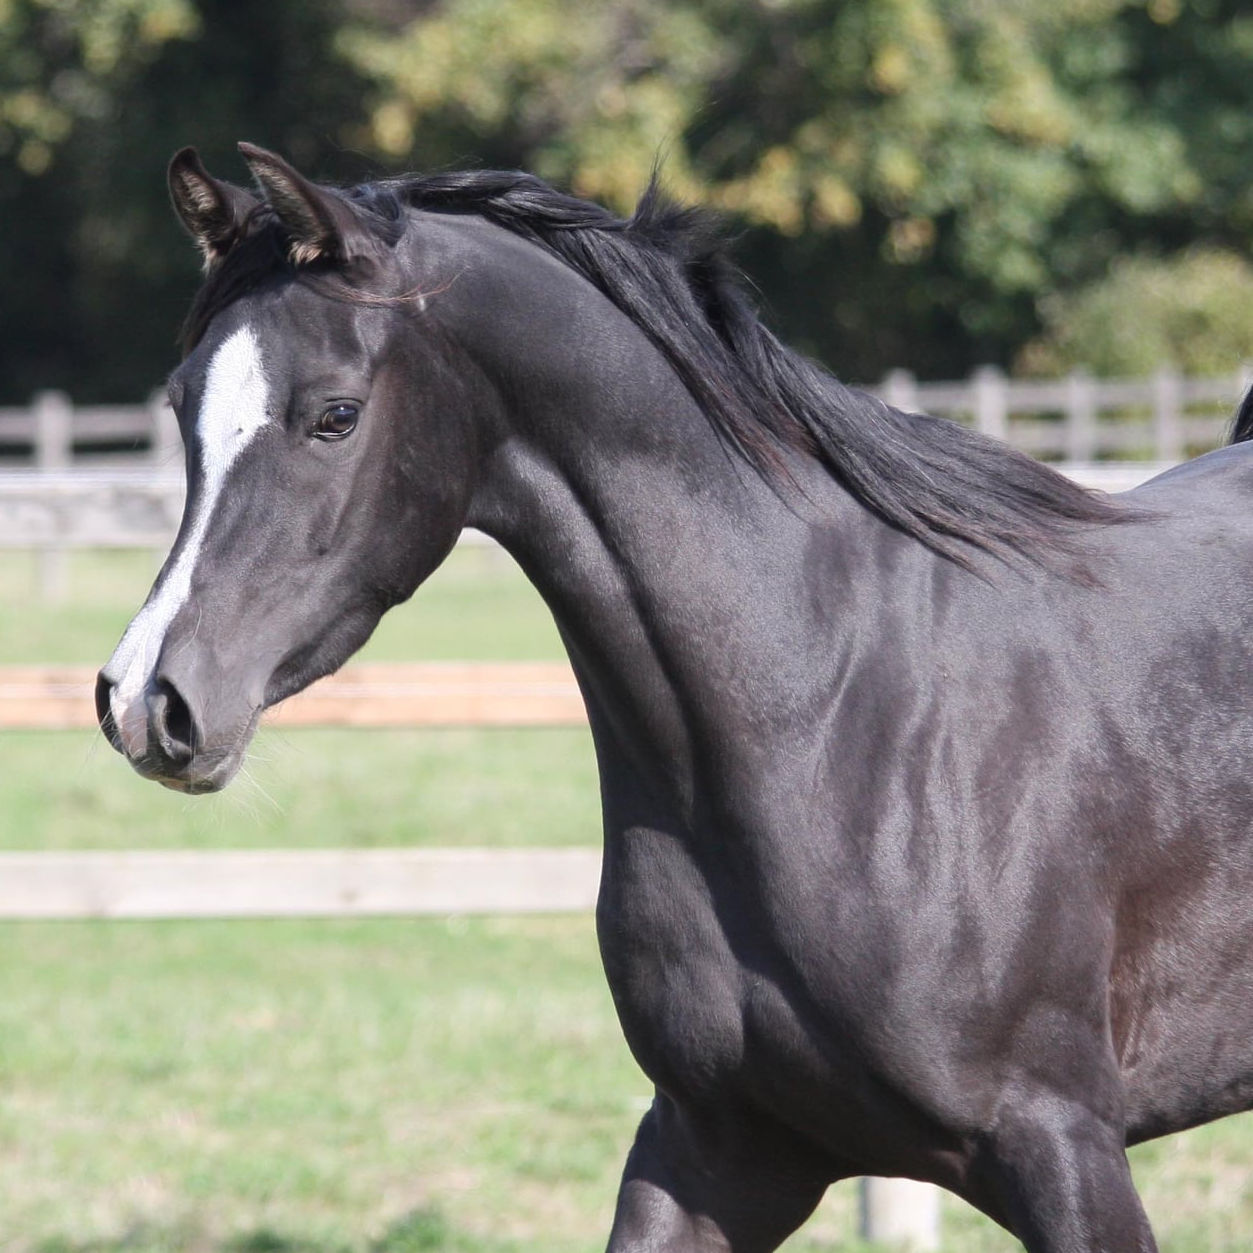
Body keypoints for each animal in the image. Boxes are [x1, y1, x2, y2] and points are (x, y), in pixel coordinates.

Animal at [97, 142, 1253, 1253]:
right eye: (181, 406)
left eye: (333, 415)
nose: (148, 700)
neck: (840, 722)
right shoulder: (715, 1150)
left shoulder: (1059, 1147)